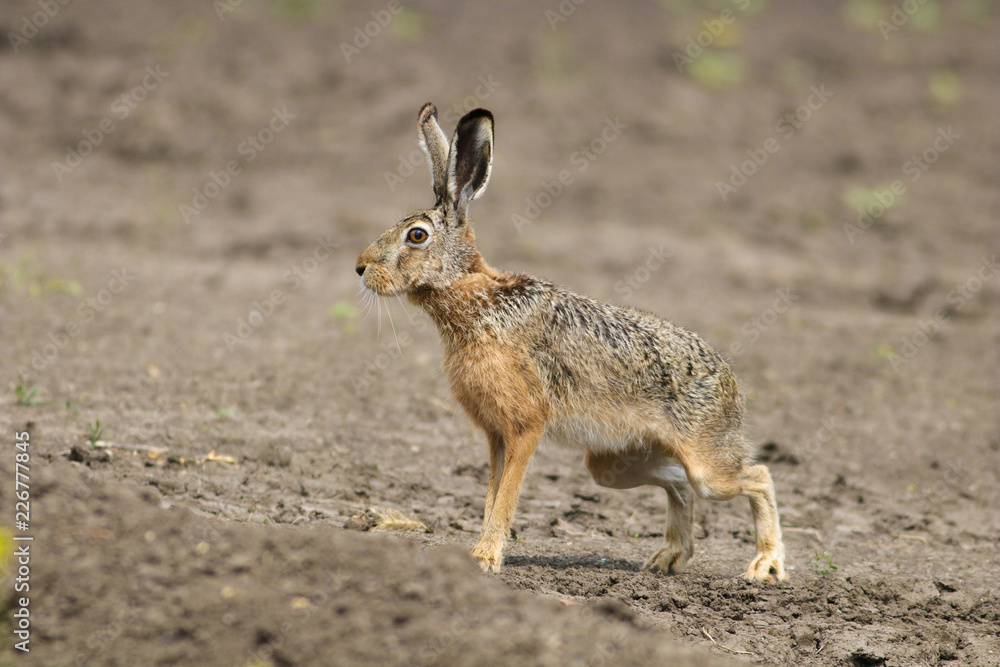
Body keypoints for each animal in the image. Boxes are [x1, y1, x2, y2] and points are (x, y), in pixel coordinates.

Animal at [355, 103, 787, 583]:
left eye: (416, 235)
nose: (360, 267)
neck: (474, 297)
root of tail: (734, 387)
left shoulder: (525, 427)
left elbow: (505, 496)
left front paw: (485, 558)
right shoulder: (495, 434)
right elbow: (491, 492)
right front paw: (482, 553)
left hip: (705, 462)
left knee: (757, 475)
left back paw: (766, 564)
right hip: (613, 464)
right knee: (679, 483)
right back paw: (669, 556)